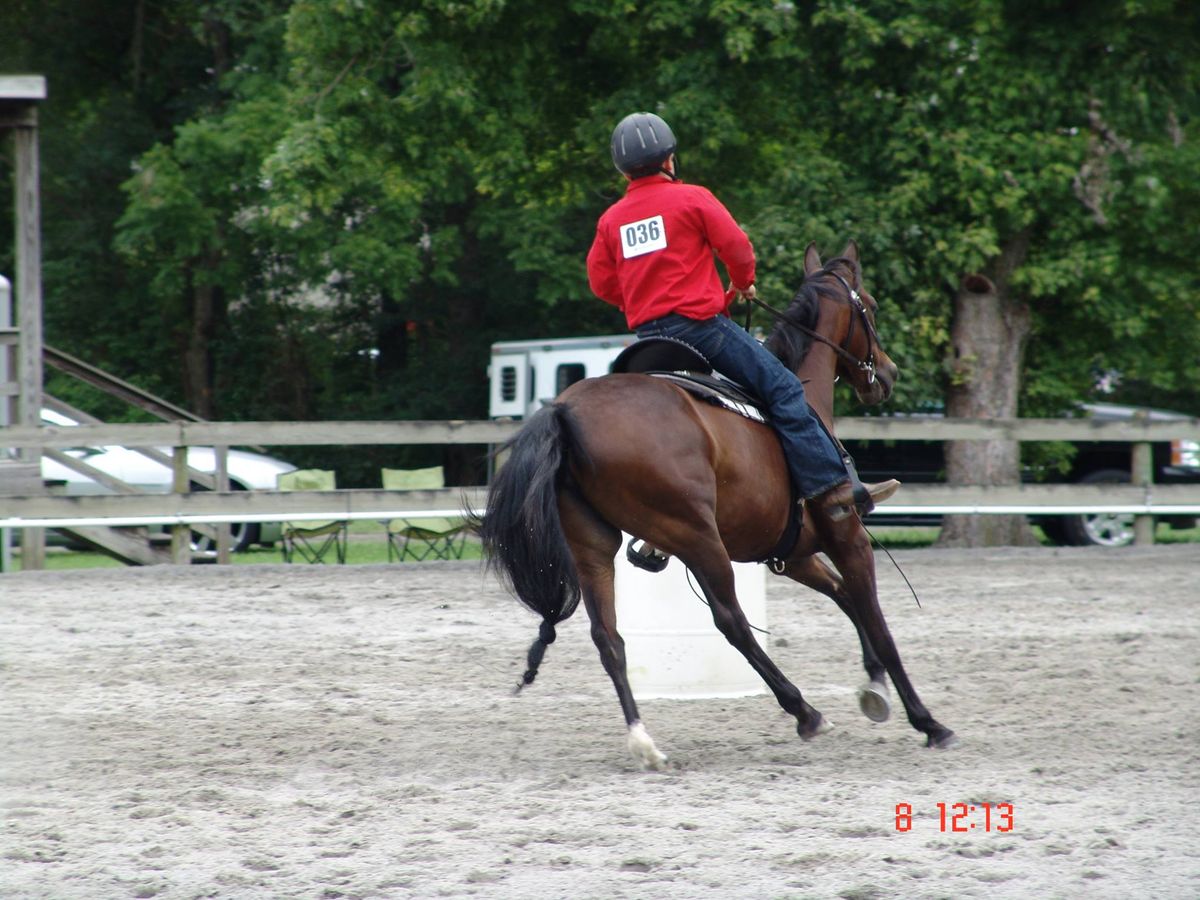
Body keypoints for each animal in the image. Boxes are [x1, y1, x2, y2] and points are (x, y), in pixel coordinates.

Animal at [477, 243, 955, 772]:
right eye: (868, 305)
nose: (886, 374)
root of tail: (565, 412)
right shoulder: (845, 533)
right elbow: (874, 617)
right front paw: (926, 720)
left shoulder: (794, 553)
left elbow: (843, 596)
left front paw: (874, 687)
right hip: (698, 539)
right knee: (731, 621)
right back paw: (805, 712)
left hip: (595, 546)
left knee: (609, 638)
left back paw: (644, 741)